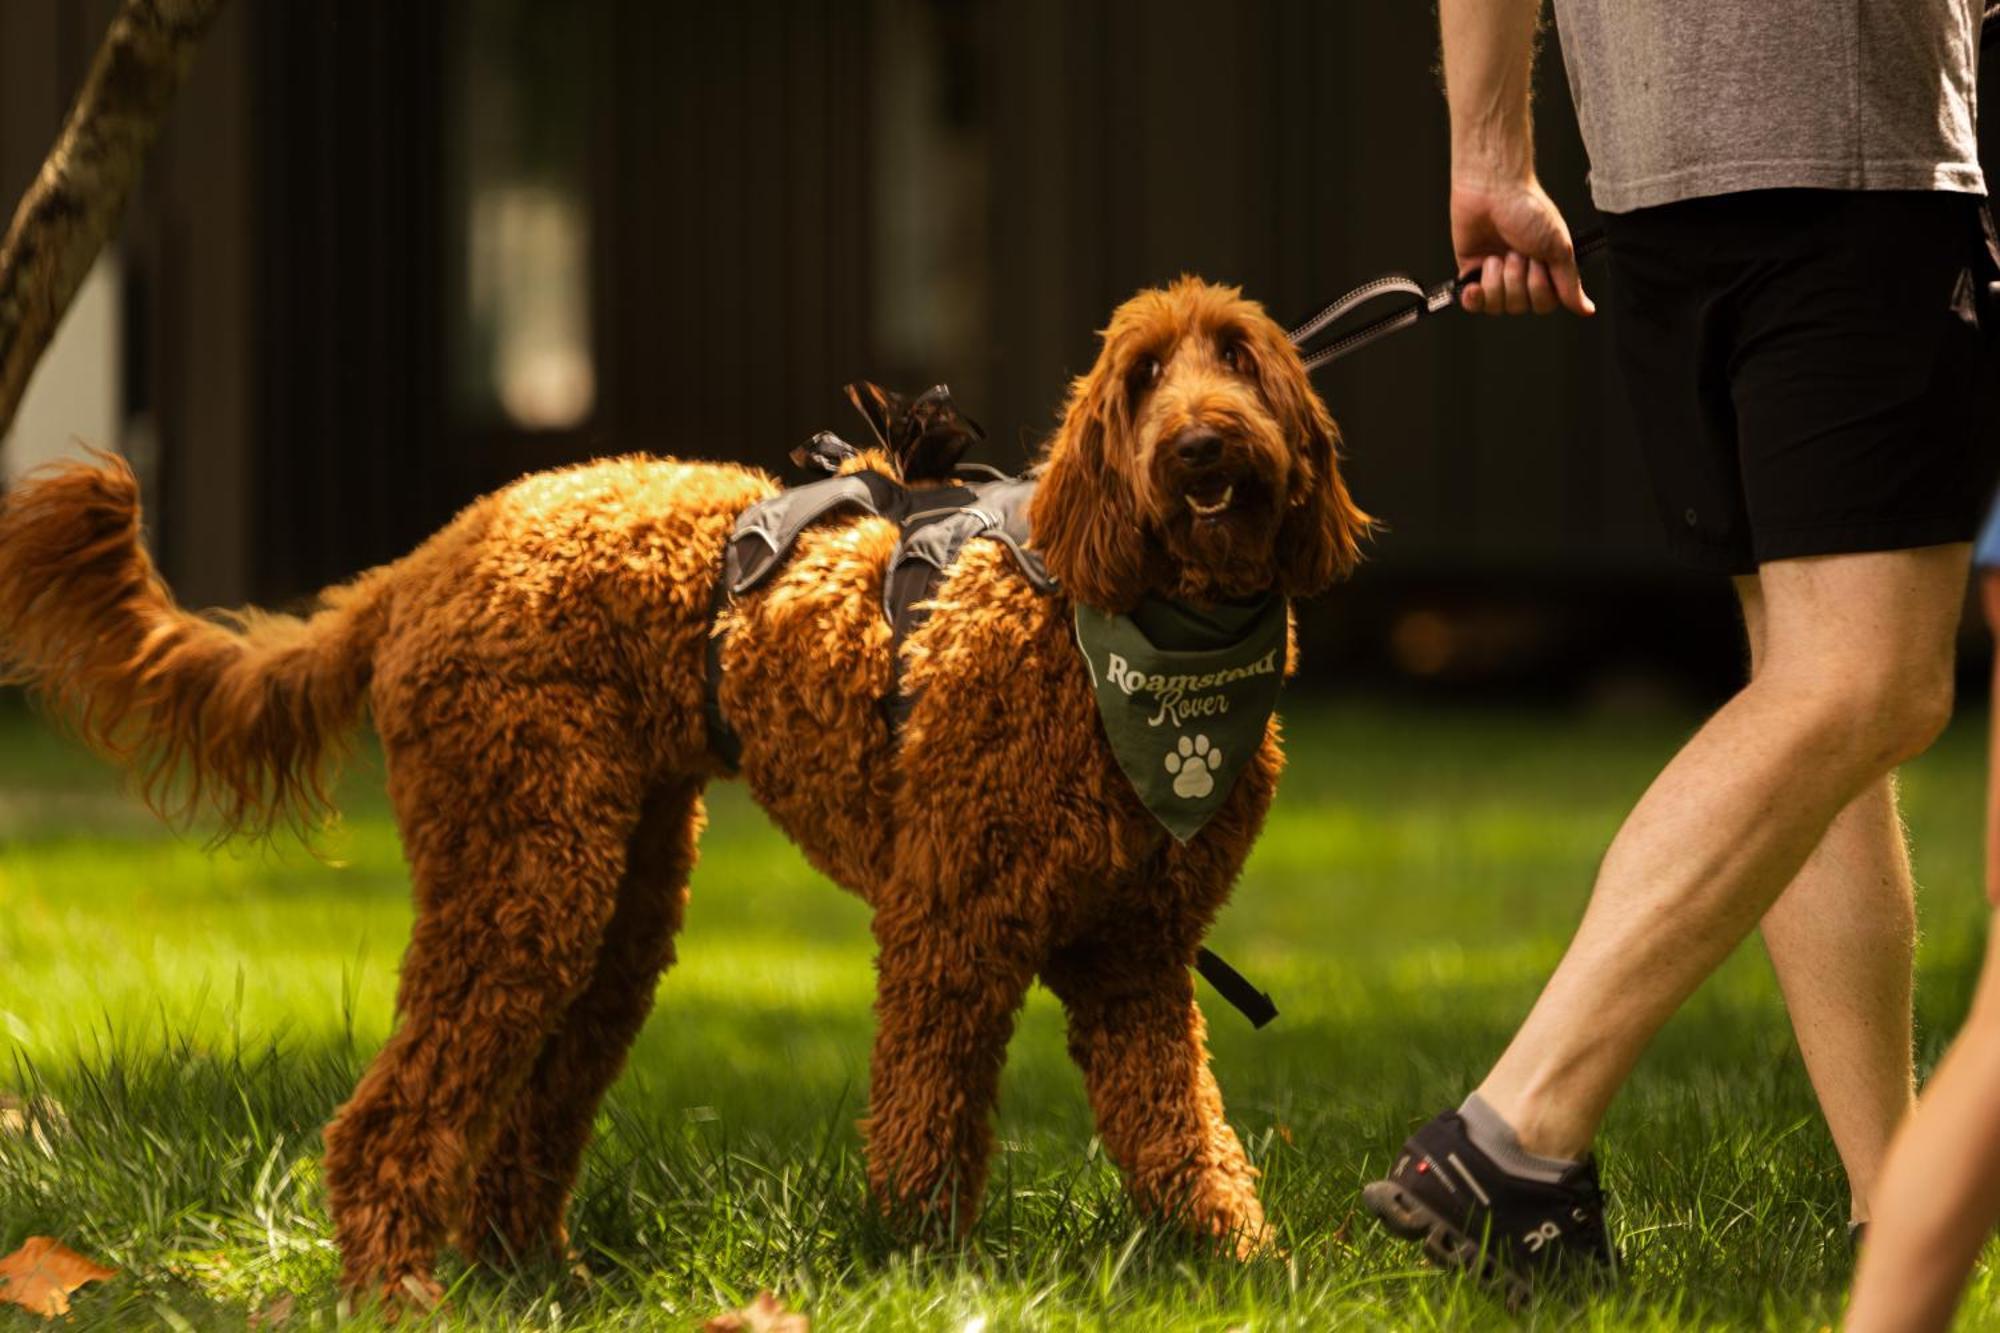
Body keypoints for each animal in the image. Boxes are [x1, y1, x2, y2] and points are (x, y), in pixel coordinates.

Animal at [0, 274, 1368, 1304]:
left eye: (1241, 362)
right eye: (1140, 376)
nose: (1200, 443)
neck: (1128, 631)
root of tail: (421, 563)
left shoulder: (1138, 960)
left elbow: (1179, 1131)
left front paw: (1239, 1265)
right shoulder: (950, 929)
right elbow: (929, 1117)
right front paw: (929, 1271)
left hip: (608, 897)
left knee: (526, 1114)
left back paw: (537, 1282)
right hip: (521, 878)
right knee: (390, 1116)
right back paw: (397, 1292)